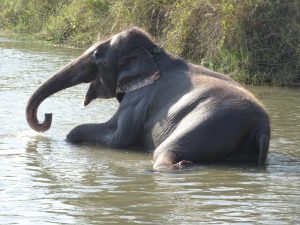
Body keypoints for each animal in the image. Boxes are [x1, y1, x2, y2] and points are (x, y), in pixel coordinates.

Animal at [25, 27, 270, 170]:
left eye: (95, 56)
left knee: (163, 152)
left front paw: (68, 138)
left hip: (211, 122)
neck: (156, 54)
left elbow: (118, 137)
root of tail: (261, 126)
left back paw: (180, 165)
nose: (47, 115)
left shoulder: (139, 100)